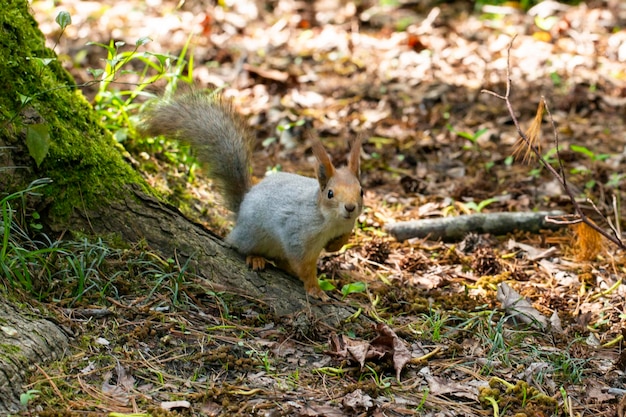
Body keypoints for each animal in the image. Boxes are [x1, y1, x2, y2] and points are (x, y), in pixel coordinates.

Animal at [139, 92, 364, 300]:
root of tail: (242, 207)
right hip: (251, 234)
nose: (350, 207)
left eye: (361, 191)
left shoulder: (345, 226)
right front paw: (314, 288)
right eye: (330, 193)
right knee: (241, 246)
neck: (330, 219)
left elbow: (342, 239)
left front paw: (335, 245)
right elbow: (303, 264)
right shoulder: (297, 233)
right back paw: (255, 258)